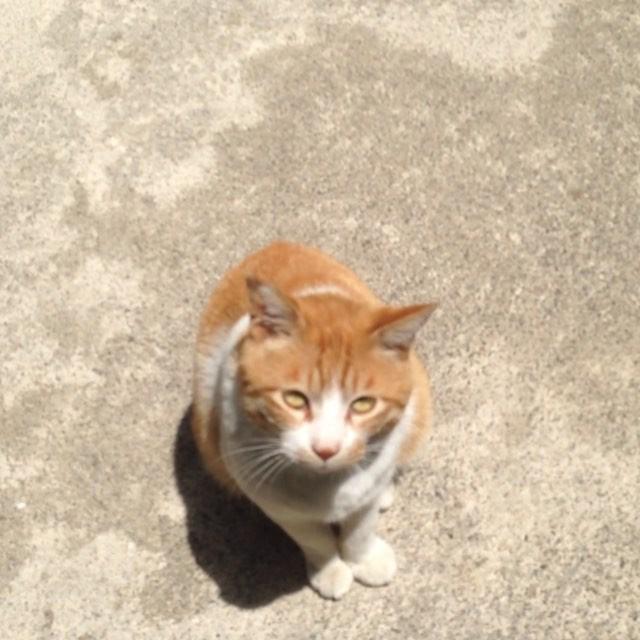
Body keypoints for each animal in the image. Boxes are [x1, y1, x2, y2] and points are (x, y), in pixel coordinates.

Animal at [192, 241, 436, 599]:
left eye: (363, 404)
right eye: (294, 399)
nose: (326, 449)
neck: (328, 485)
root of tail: (275, 244)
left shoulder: (366, 489)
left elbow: (360, 530)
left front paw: (364, 559)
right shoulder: (272, 501)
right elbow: (314, 539)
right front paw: (329, 570)